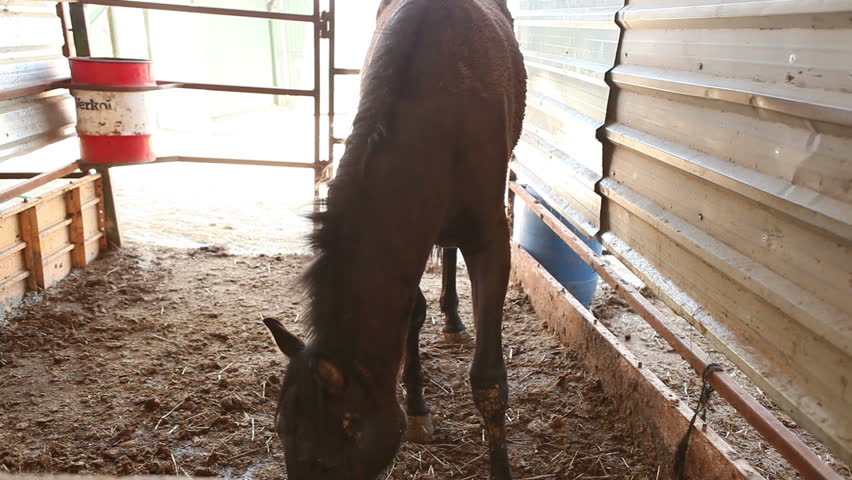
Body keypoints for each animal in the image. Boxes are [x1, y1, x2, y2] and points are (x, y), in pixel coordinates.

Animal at [263, 0, 526, 478]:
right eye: (280, 428)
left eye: (347, 431)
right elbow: (412, 315)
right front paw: (418, 406)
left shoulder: (492, 240)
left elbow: (489, 379)